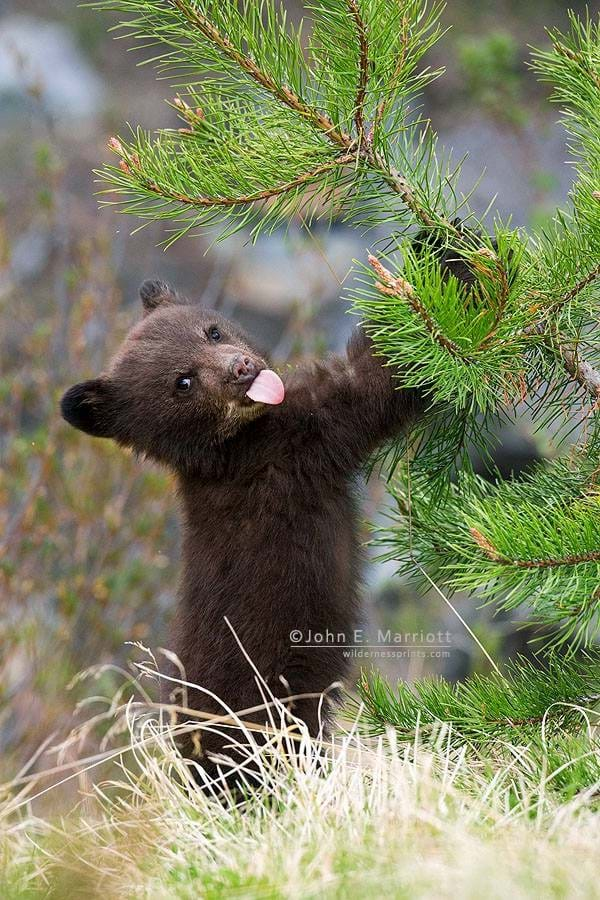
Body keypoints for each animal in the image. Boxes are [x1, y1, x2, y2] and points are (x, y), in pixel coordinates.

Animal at [61, 278, 424, 786]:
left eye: (212, 330)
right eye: (183, 381)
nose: (241, 367)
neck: (228, 449)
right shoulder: (299, 442)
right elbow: (372, 380)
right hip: (261, 715)